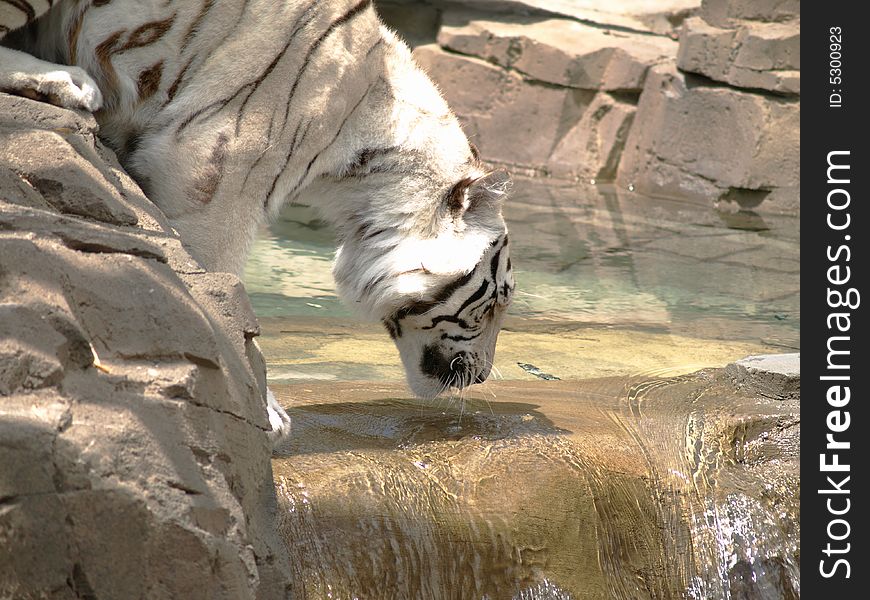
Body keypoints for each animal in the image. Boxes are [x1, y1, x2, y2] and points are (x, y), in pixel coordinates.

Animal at [0, 0, 516, 440]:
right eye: (496, 301)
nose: (482, 375)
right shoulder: (212, 166)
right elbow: (218, 281)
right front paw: (262, 407)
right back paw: (69, 80)